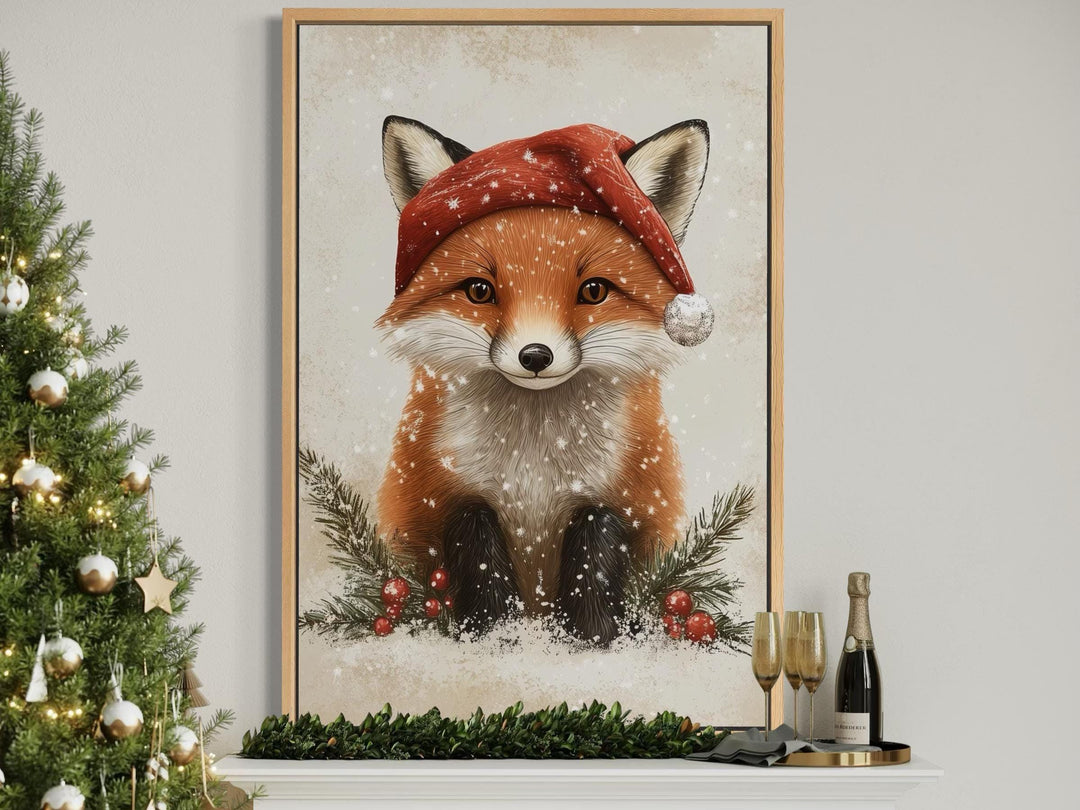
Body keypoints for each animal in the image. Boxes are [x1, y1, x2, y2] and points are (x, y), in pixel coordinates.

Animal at [375, 116, 713, 643]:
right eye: (480, 290)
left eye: (593, 291)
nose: (535, 355)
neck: (533, 471)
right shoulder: (434, 501)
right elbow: (476, 542)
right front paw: (496, 634)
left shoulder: (631, 500)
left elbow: (595, 546)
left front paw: (593, 637)